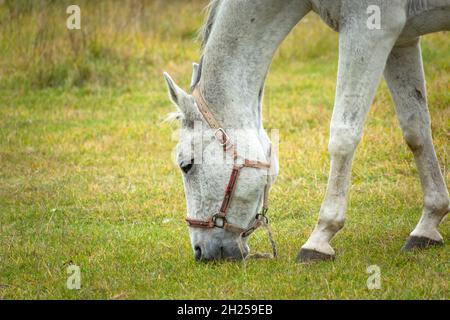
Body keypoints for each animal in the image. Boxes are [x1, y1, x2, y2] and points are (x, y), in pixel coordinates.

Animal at [164, 0, 450, 262]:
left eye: (186, 165)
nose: (200, 253)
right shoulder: (403, 40)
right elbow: (415, 130)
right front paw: (428, 225)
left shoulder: (372, 29)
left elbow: (343, 136)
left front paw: (319, 238)